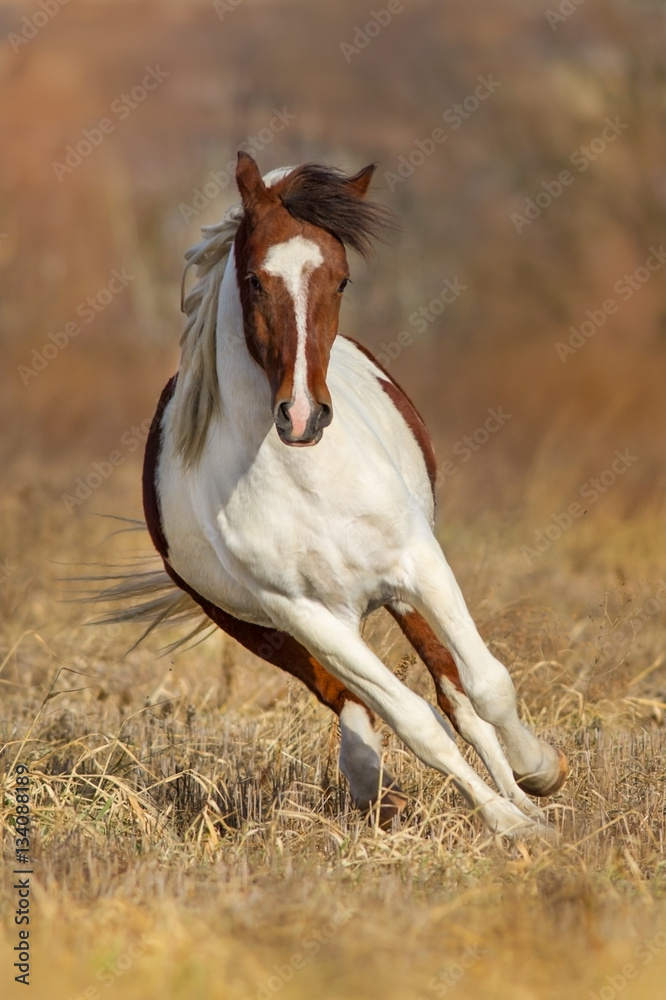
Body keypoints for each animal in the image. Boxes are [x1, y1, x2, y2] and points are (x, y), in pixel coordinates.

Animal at [136, 152, 567, 837]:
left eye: (340, 282)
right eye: (255, 281)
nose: (301, 416)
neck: (306, 478)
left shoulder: (419, 562)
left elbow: (487, 686)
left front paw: (539, 779)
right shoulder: (304, 616)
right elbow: (415, 724)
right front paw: (508, 823)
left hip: (399, 593)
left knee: (456, 694)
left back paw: (522, 791)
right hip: (268, 630)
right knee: (365, 704)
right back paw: (377, 784)